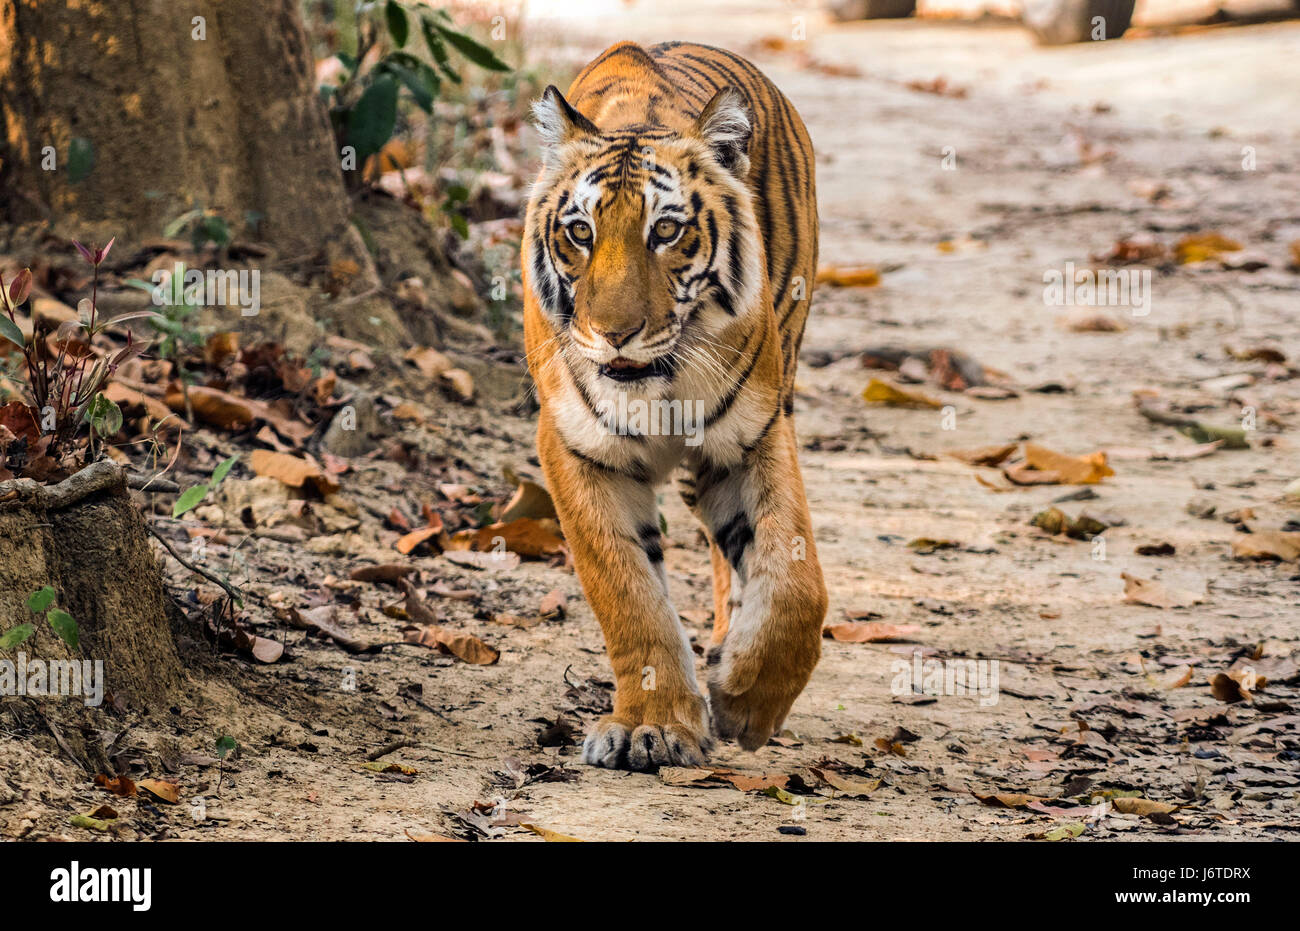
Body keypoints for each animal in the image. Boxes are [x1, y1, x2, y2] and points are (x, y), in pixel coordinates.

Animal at [517, 39, 821, 769]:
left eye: (667, 231)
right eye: (579, 232)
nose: (614, 332)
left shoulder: (754, 434)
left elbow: (797, 585)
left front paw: (746, 698)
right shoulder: (575, 446)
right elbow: (627, 591)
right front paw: (649, 726)